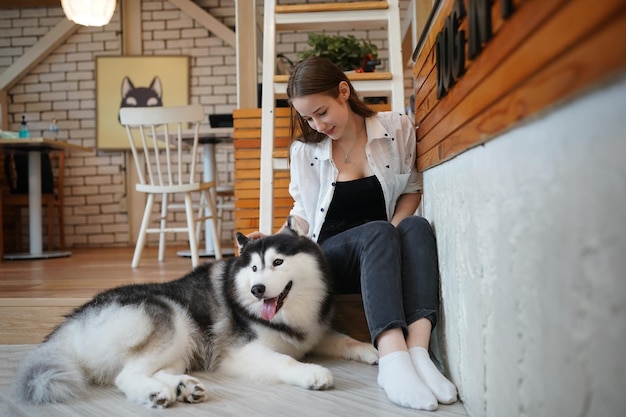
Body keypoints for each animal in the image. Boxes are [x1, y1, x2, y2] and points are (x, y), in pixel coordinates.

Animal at [13, 223, 376, 408]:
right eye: (254, 268)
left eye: (277, 263)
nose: (257, 289)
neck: (289, 313)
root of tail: (71, 321)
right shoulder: (241, 352)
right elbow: (285, 360)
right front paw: (312, 372)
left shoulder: (312, 332)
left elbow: (343, 340)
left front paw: (371, 351)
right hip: (172, 317)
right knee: (126, 374)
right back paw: (154, 392)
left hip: (186, 341)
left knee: (156, 368)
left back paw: (183, 387)